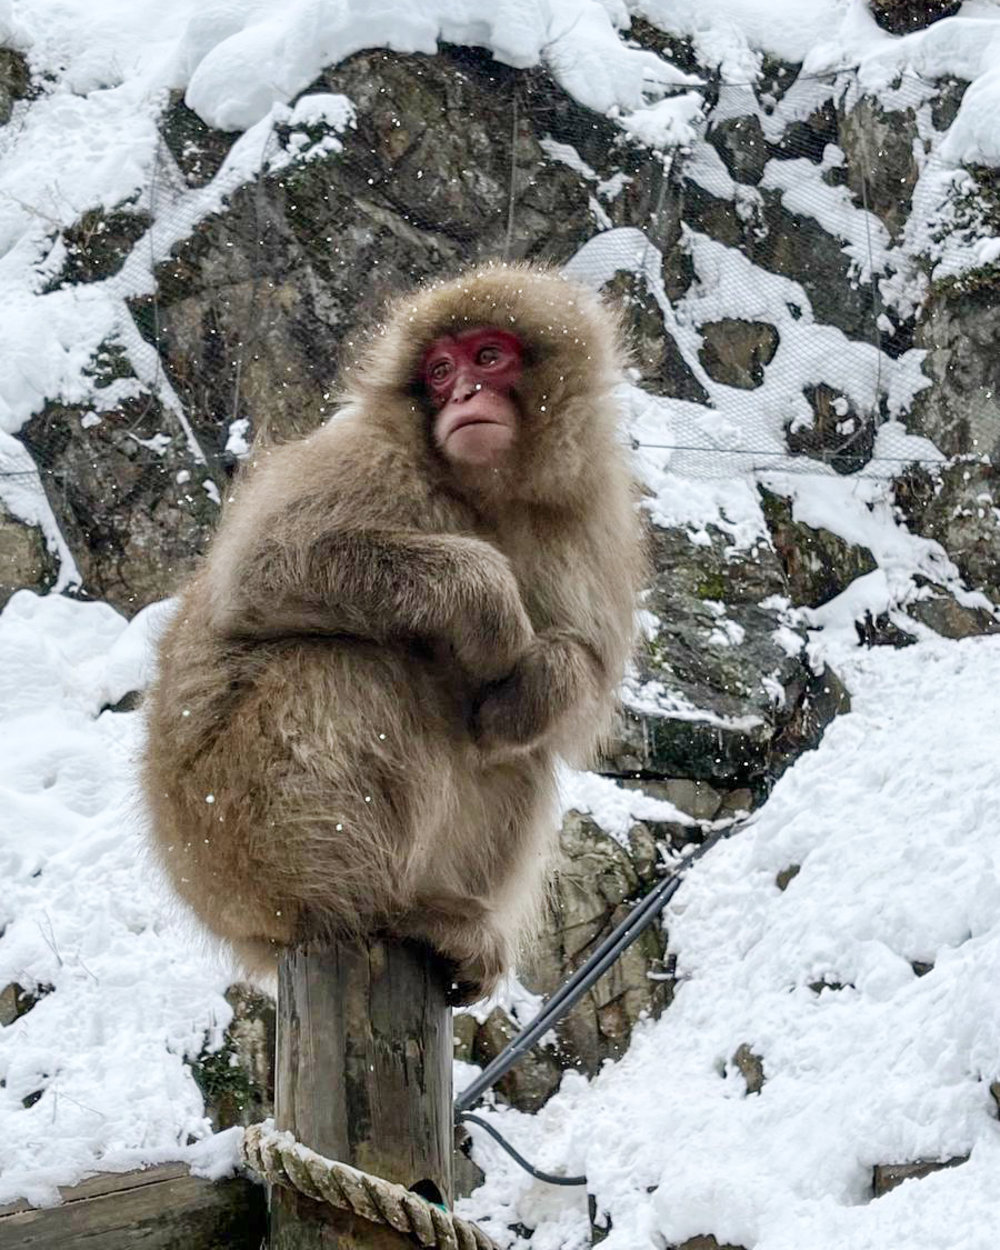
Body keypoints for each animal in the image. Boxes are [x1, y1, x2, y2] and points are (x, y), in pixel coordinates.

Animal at [141, 262, 646, 1003]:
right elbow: (262, 568)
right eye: (438, 370)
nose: (462, 393)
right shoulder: (367, 456)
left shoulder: (583, 515)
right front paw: (488, 604)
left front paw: (540, 682)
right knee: (354, 665)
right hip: (238, 836)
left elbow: (582, 672)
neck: (485, 494)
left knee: (519, 753)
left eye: (487, 357)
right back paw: (381, 906)